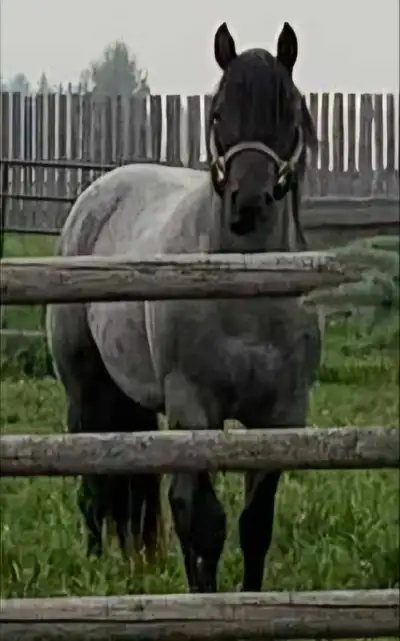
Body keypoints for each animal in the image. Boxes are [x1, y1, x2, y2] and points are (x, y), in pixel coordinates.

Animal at [46, 21, 321, 593]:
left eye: (289, 114)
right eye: (217, 114)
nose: (248, 203)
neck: (247, 297)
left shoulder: (283, 416)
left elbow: (255, 524)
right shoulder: (195, 408)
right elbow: (202, 522)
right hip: (84, 388)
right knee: (93, 483)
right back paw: (95, 569)